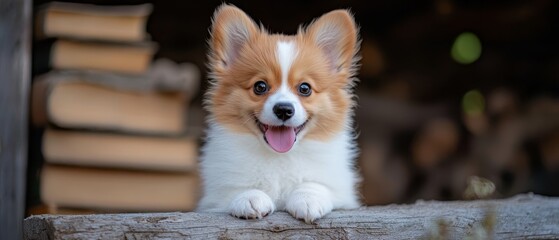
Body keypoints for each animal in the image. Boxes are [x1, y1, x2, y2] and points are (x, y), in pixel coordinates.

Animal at [199, 4, 360, 225]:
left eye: (305, 88)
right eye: (260, 86)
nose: (284, 109)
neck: (280, 157)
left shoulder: (341, 193)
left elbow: (316, 185)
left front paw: (307, 199)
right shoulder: (215, 196)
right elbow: (237, 190)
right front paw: (251, 198)